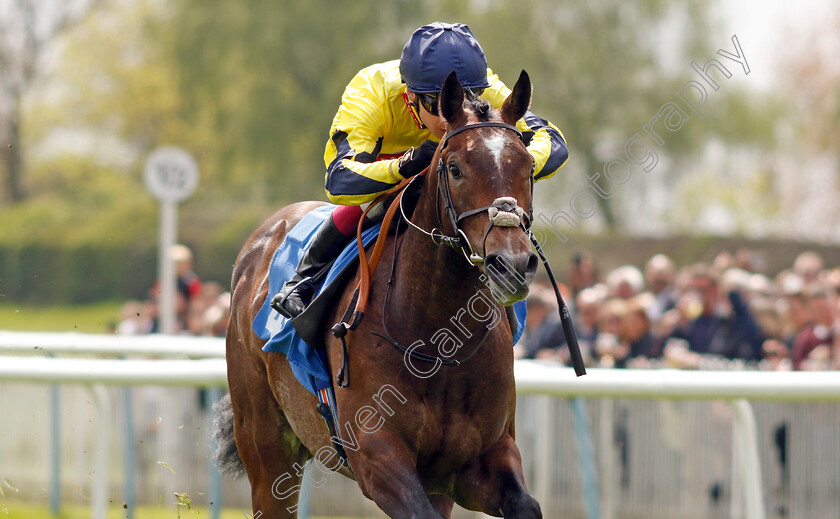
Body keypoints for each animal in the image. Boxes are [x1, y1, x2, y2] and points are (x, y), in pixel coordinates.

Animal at [220, 70, 540, 519]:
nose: (510, 264)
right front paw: (419, 155)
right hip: (265, 447)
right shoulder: (377, 457)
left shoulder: (479, 459)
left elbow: (525, 505)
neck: (437, 341)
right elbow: (344, 169)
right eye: (455, 168)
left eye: (528, 167)